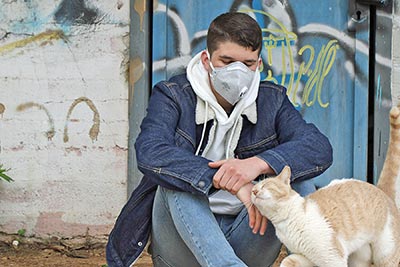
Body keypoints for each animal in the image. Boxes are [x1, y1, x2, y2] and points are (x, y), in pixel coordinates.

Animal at [253, 105, 400, 266]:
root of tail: (380, 189)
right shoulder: (304, 257)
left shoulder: (333, 258)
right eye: (254, 188)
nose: (253, 191)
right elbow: (287, 261)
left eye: (266, 185)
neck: (286, 223)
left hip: (385, 254)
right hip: (359, 257)